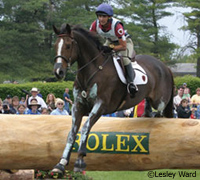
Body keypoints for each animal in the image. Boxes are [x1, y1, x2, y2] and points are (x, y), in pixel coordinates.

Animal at [51, 23, 173, 176]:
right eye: (55, 45)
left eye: (68, 45)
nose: (58, 72)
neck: (92, 70)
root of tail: (165, 66)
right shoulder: (78, 106)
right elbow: (72, 132)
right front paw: (60, 164)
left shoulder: (100, 105)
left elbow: (85, 127)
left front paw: (80, 161)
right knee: (150, 110)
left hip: (159, 100)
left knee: (162, 113)